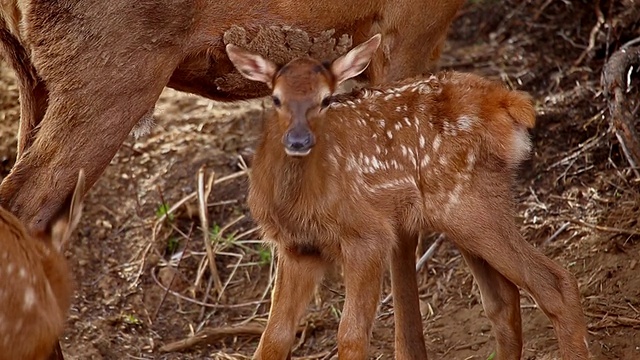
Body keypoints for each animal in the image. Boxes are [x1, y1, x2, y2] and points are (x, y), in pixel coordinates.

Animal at [225, 34, 592, 360]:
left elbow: (351, 335)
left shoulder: (368, 234)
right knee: (504, 299)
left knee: (555, 284)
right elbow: (273, 339)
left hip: (470, 205)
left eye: (326, 99)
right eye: (276, 99)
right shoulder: (298, 249)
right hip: (468, 212)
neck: (299, 202)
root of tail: (507, 102)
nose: (298, 140)